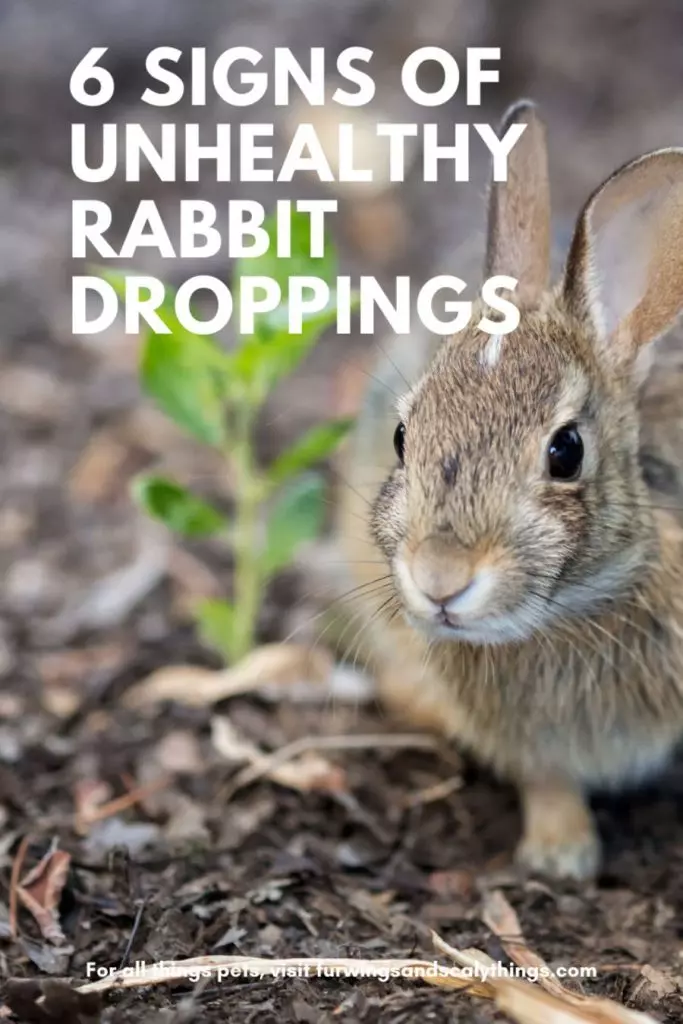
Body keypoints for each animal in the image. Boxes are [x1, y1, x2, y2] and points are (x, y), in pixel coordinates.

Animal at [336, 99, 683, 880]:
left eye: (566, 451)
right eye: (403, 437)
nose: (439, 580)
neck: (579, 610)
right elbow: (546, 779)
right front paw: (561, 853)